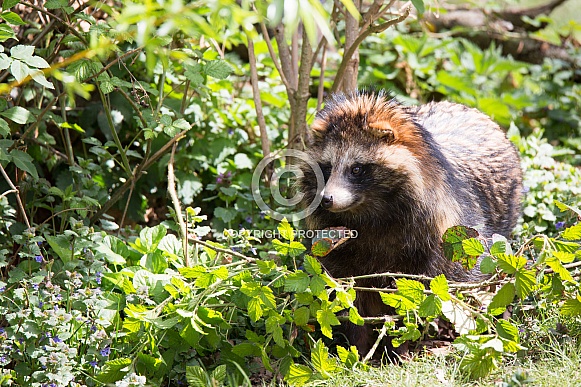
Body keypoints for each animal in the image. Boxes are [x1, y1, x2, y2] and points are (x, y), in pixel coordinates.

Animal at [300, 90, 520, 354]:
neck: (369, 212)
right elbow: (348, 293)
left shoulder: (441, 235)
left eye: (356, 169)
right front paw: (359, 347)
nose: (326, 199)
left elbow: (418, 294)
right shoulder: (337, 245)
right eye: (327, 167)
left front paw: (400, 346)